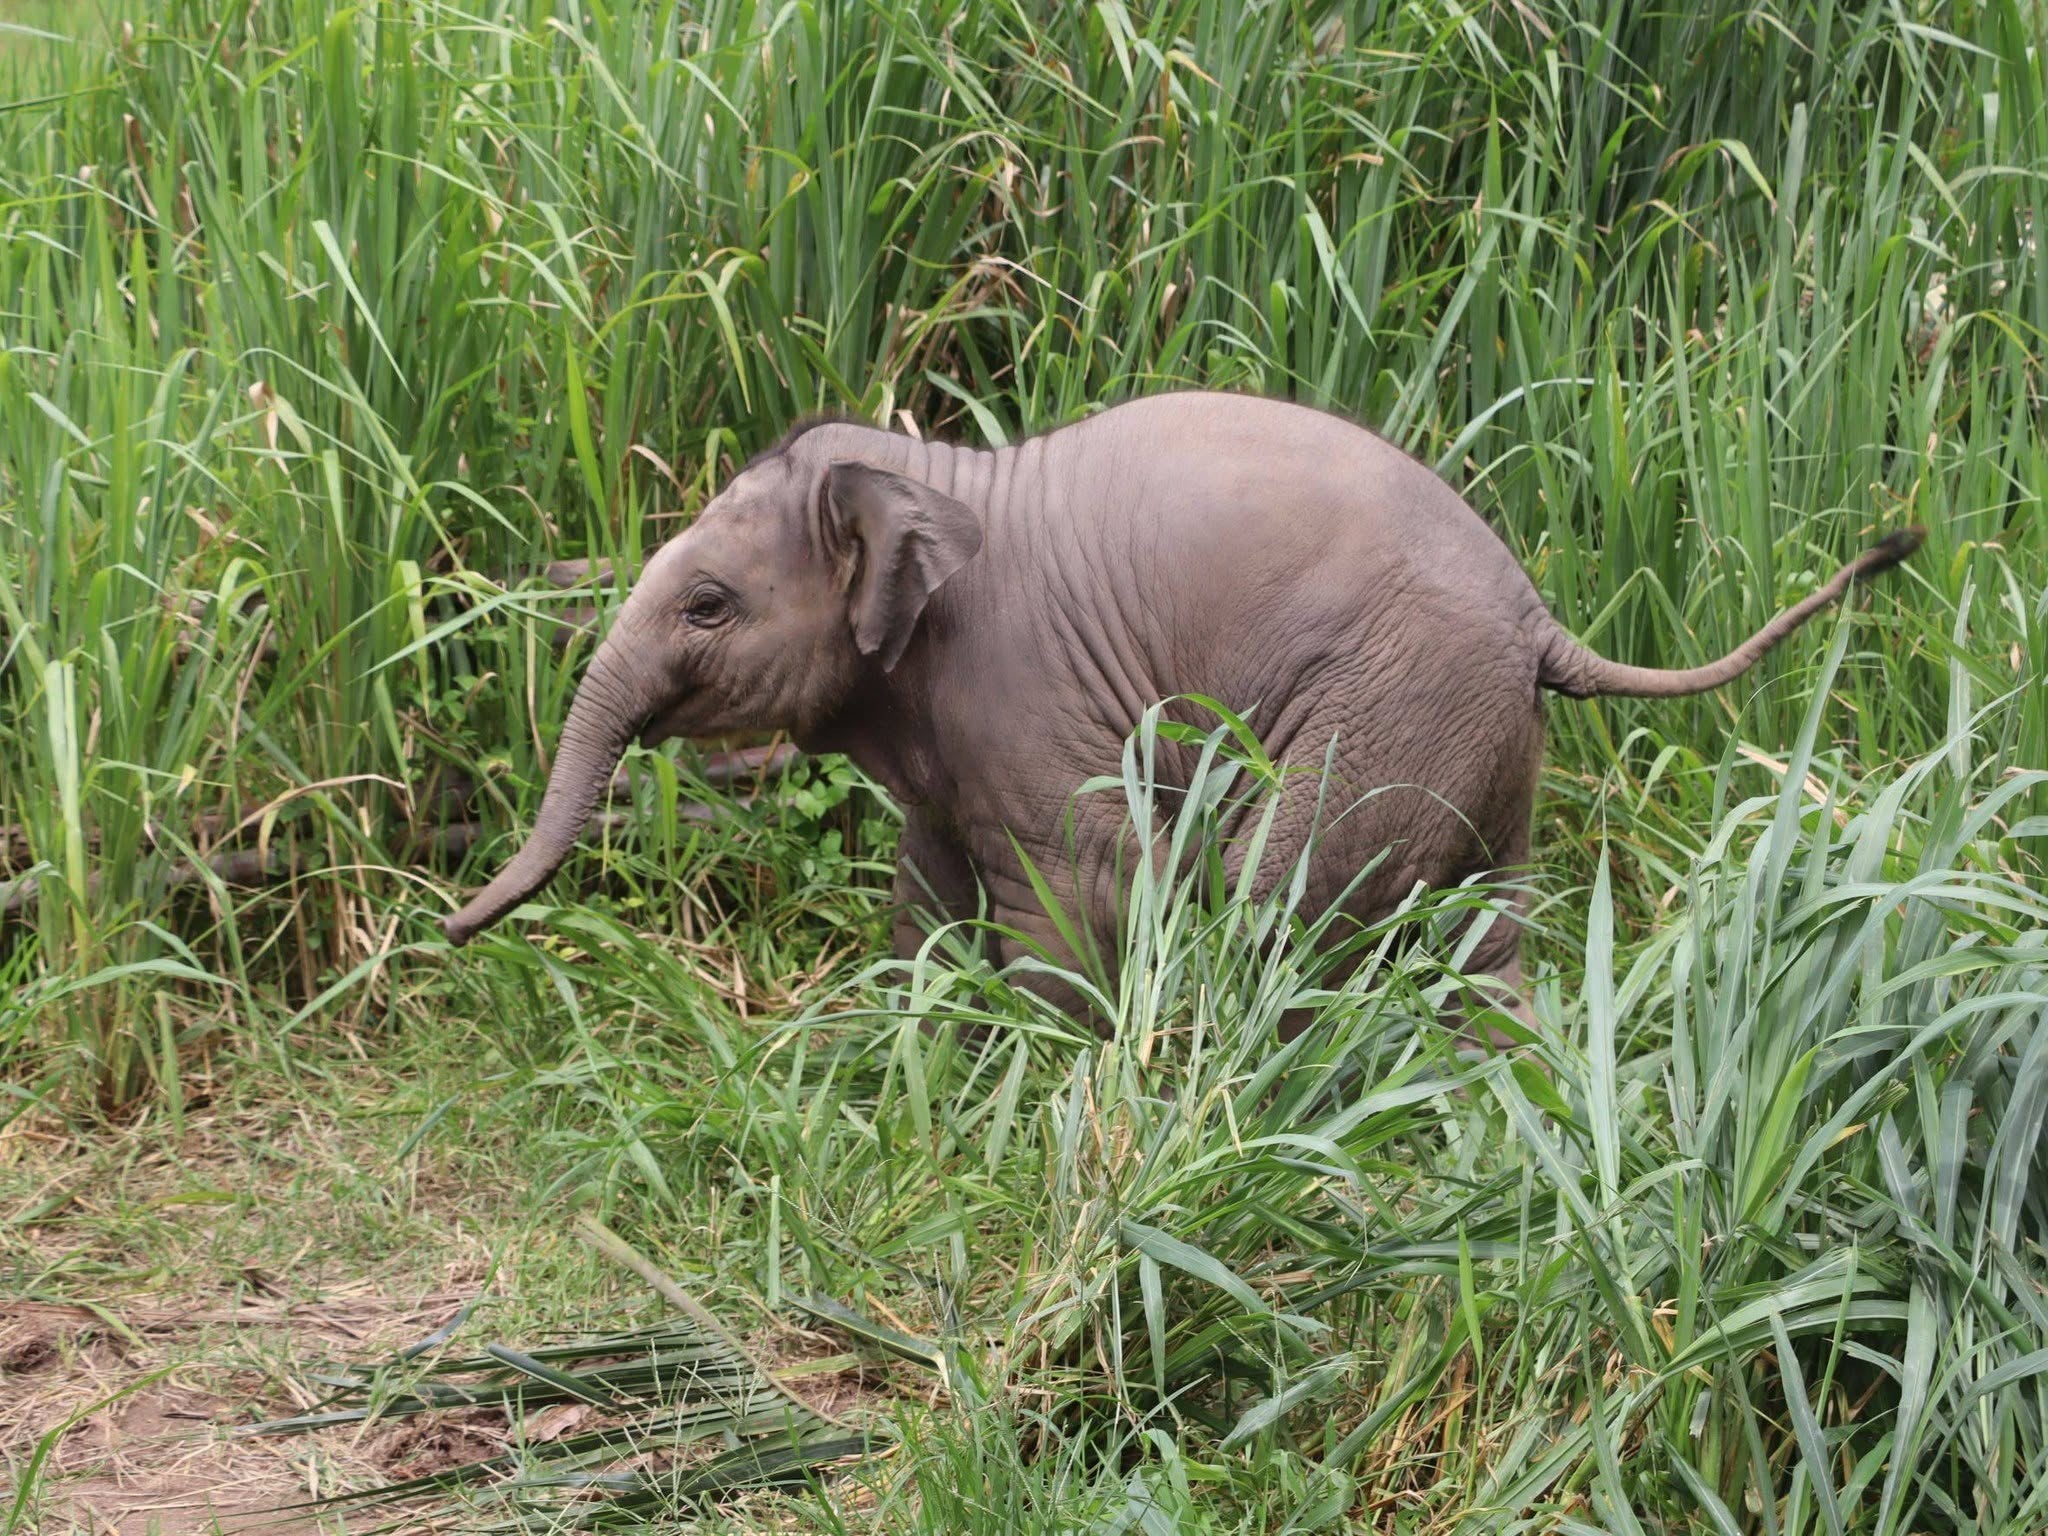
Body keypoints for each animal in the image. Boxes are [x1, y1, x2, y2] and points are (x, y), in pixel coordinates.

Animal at [442, 391, 1922, 1031]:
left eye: (705, 605)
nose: (443, 929)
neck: (926, 470)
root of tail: (1539, 618)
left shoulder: (1017, 691)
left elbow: (1082, 890)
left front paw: (1042, 1077)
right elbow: (928, 902)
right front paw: (913, 1063)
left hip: (1390, 701)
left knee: (1286, 904)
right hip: (1482, 738)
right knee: (1480, 931)